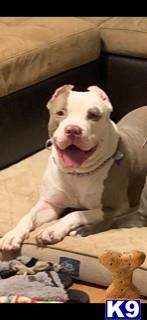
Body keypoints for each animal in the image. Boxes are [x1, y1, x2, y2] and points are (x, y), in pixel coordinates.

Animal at [0, 84, 147, 250]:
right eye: (60, 113)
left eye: (93, 115)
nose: (73, 129)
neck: (78, 173)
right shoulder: (49, 204)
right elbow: (29, 215)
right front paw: (13, 234)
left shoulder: (116, 208)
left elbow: (76, 214)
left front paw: (53, 230)